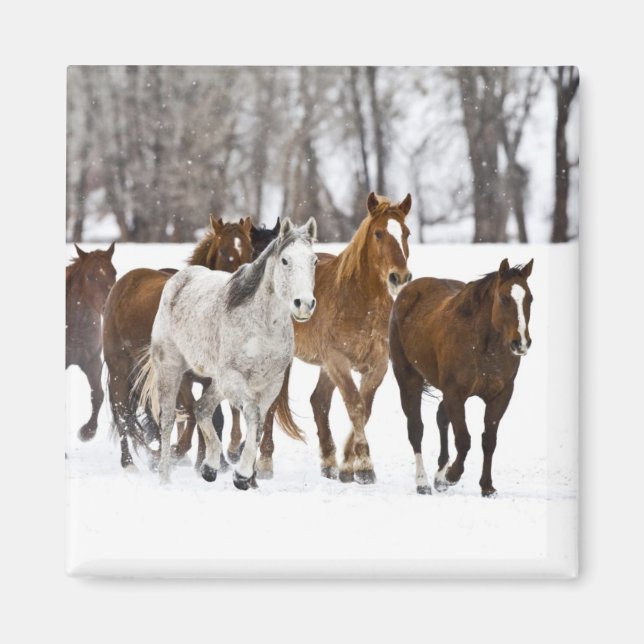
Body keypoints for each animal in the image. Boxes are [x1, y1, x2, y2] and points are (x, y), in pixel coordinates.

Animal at [66, 242, 117, 440]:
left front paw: (87, 431)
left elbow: (98, 395)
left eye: (114, 272)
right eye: (89, 276)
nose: (108, 305)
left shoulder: (92, 361)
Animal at [102, 216, 254, 470]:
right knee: (122, 412)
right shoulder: (181, 377)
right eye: (224, 251)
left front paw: (209, 461)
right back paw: (130, 463)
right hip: (120, 370)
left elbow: (214, 417)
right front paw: (179, 452)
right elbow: (192, 412)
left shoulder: (211, 378)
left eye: (251, 250)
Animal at [136, 217, 318, 488]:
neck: (264, 325)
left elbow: (259, 426)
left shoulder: (270, 384)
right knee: (168, 419)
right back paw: (165, 478)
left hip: (218, 382)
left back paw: (209, 467)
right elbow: (251, 414)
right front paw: (242, 474)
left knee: (202, 408)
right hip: (171, 369)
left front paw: (245, 475)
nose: (304, 304)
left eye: (314, 261)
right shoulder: (235, 378)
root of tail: (178, 280)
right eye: (286, 260)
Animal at [257, 192, 413, 484]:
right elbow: (355, 405)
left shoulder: (377, 365)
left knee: (318, 401)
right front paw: (365, 465)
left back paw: (329, 462)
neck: (358, 301)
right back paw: (264, 462)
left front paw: (348, 465)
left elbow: (365, 407)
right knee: (272, 404)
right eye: (378, 233)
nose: (400, 276)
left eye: (406, 233)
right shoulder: (338, 360)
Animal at [388, 258, 534, 497]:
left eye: (530, 298)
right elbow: (464, 439)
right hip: (408, 379)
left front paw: (487, 486)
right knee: (416, 429)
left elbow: (489, 440)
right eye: (504, 298)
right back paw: (423, 482)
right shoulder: (455, 393)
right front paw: (452, 474)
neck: (483, 345)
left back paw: (439, 476)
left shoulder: (500, 395)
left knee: (441, 417)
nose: (520, 343)